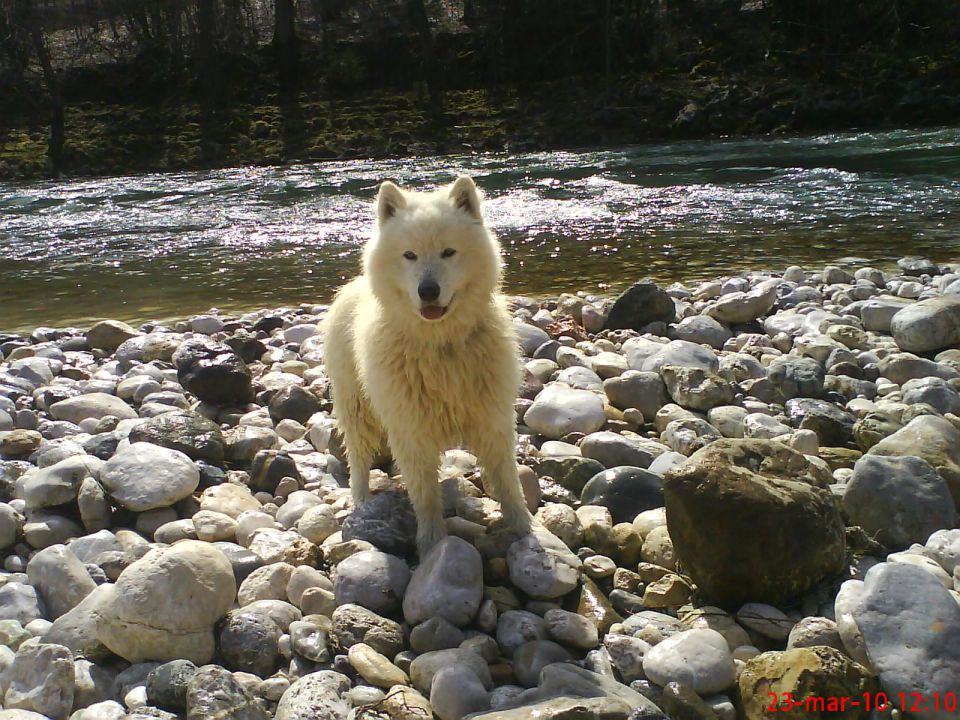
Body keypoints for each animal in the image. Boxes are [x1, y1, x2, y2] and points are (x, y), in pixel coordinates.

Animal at [322, 176, 532, 556]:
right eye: (410, 255)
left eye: (449, 252)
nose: (428, 290)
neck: (440, 346)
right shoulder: (412, 431)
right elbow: (425, 496)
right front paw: (433, 545)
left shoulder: (492, 420)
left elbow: (509, 484)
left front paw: (526, 531)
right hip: (355, 405)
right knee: (357, 457)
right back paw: (360, 501)